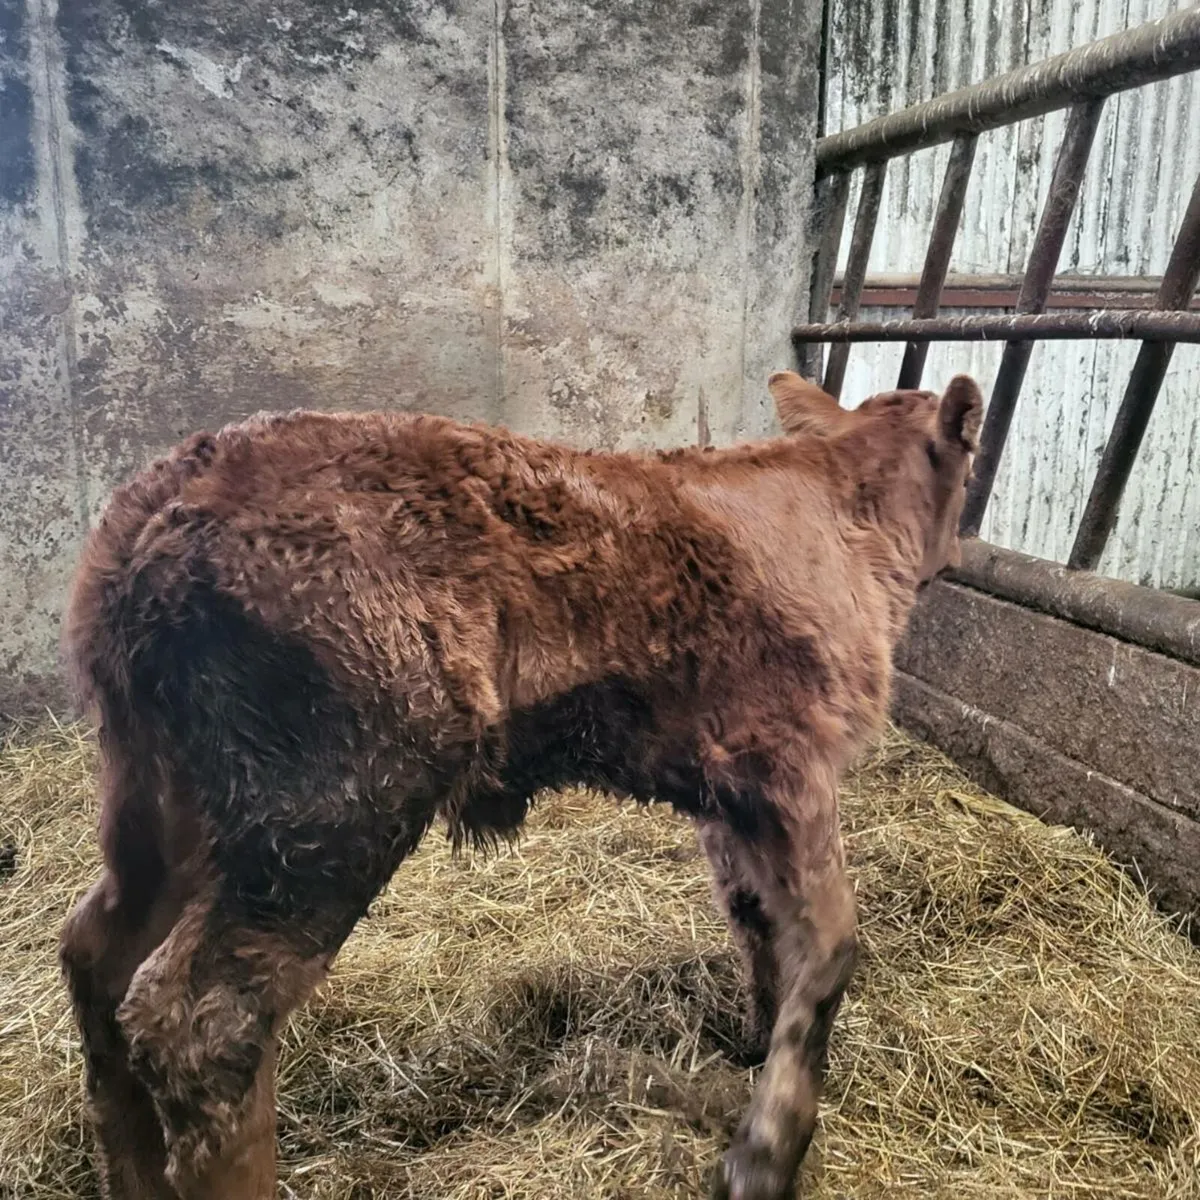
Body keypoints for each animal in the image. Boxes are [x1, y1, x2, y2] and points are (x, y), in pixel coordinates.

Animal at [58, 369, 982, 1199]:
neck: (845, 523)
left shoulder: (729, 799)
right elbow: (831, 945)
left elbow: (759, 925)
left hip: (166, 801)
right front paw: (765, 1152)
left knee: (96, 954)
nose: (960, 554)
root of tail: (166, 489)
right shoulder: (788, 759)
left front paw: (757, 1043)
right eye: (969, 472)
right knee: (202, 1023)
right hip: (328, 806)